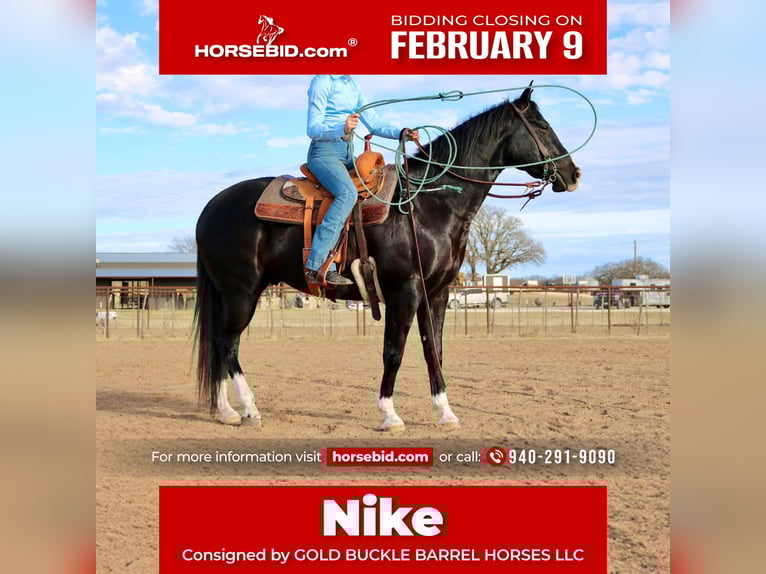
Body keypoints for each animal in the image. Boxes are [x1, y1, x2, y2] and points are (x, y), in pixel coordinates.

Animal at [193, 86, 581, 430]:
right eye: (542, 126)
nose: (574, 174)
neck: (430, 203)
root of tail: (211, 207)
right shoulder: (404, 291)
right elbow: (393, 352)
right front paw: (390, 415)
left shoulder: (436, 293)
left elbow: (433, 350)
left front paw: (445, 413)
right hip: (242, 291)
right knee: (228, 345)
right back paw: (249, 409)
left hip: (235, 293)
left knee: (220, 345)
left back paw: (226, 411)